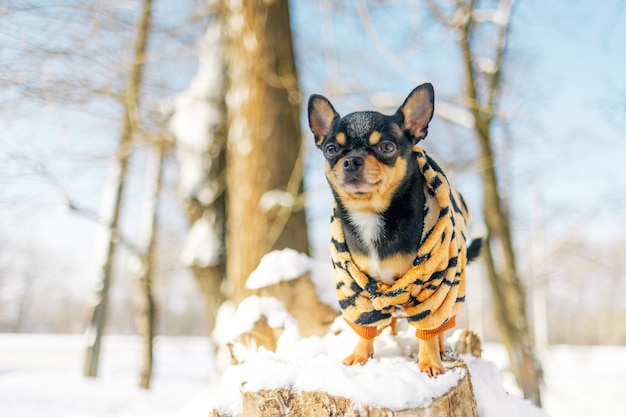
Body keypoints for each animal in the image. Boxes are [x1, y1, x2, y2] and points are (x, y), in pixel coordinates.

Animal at [310, 83, 480, 376]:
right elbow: (365, 324)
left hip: (452, 285)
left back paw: (441, 349)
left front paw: (429, 362)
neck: (371, 214)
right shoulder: (356, 287)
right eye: (331, 149)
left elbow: (428, 328)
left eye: (387, 147)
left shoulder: (432, 288)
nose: (352, 160)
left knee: (442, 323)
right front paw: (360, 356)